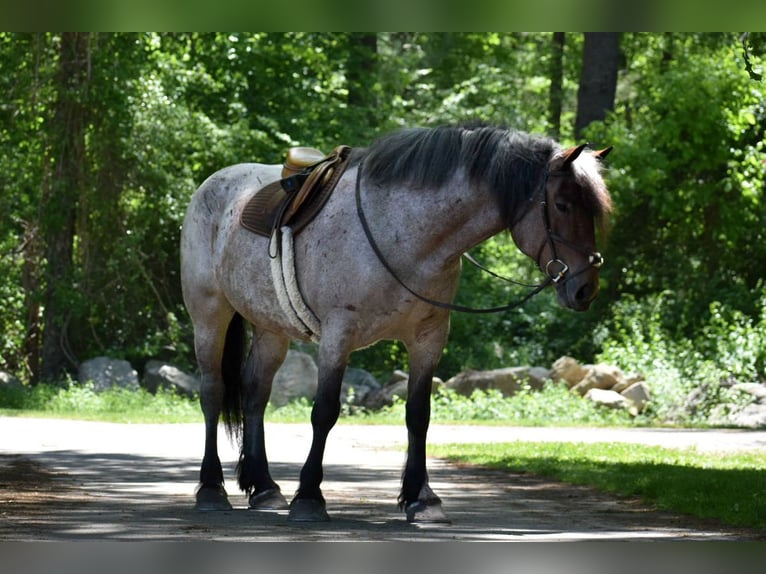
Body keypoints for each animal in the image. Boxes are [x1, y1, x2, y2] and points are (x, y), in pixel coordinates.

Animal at [180, 122, 612, 528]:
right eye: (562, 204)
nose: (585, 289)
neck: (403, 230)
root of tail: (214, 184)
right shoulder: (338, 335)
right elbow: (325, 412)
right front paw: (310, 497)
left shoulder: (428, 338)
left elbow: (418, 415)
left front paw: (422, 499)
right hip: (210, 317)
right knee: (213, 393)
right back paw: (211, 489)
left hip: (272, 329)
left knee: (255, 393)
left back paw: (265, 488)